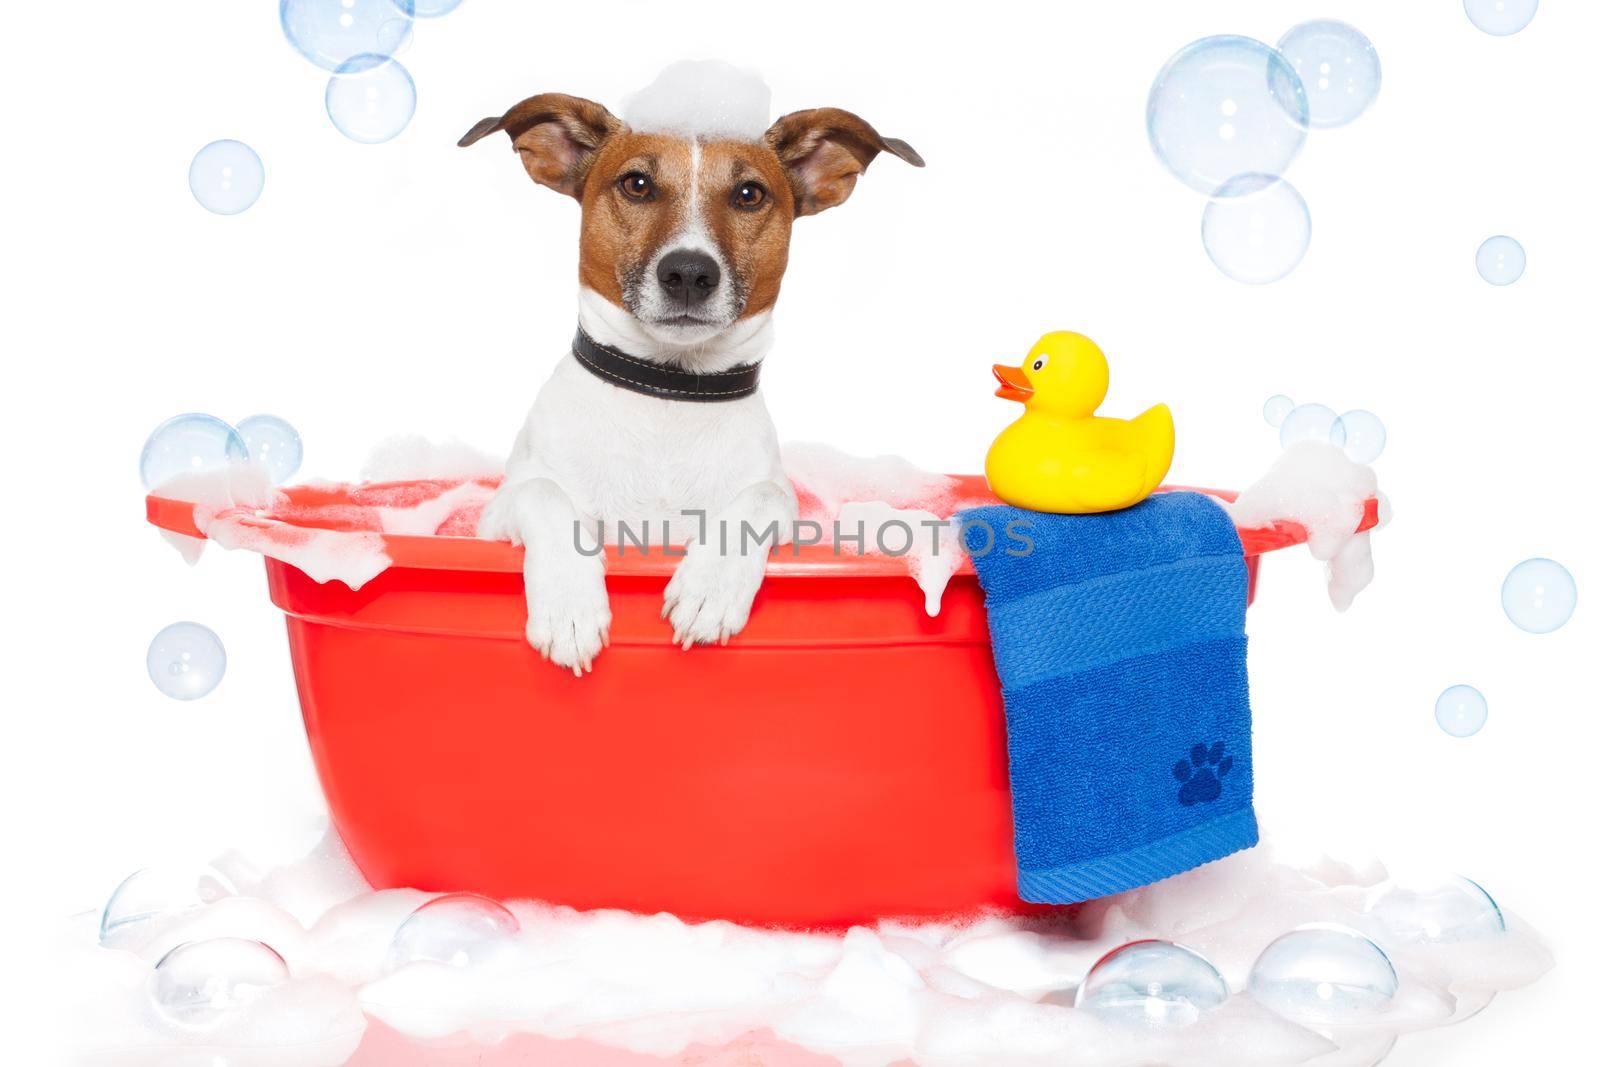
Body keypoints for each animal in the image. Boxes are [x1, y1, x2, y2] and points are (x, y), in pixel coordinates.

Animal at [457, 83, 921, 671]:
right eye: (636, 184)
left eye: (749, 194)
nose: (688, 273)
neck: (669, 393)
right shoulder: (497, 514)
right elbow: (544, 494)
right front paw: (569, 605)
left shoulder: (788, 510)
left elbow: (760, 499)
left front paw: (711, 587)